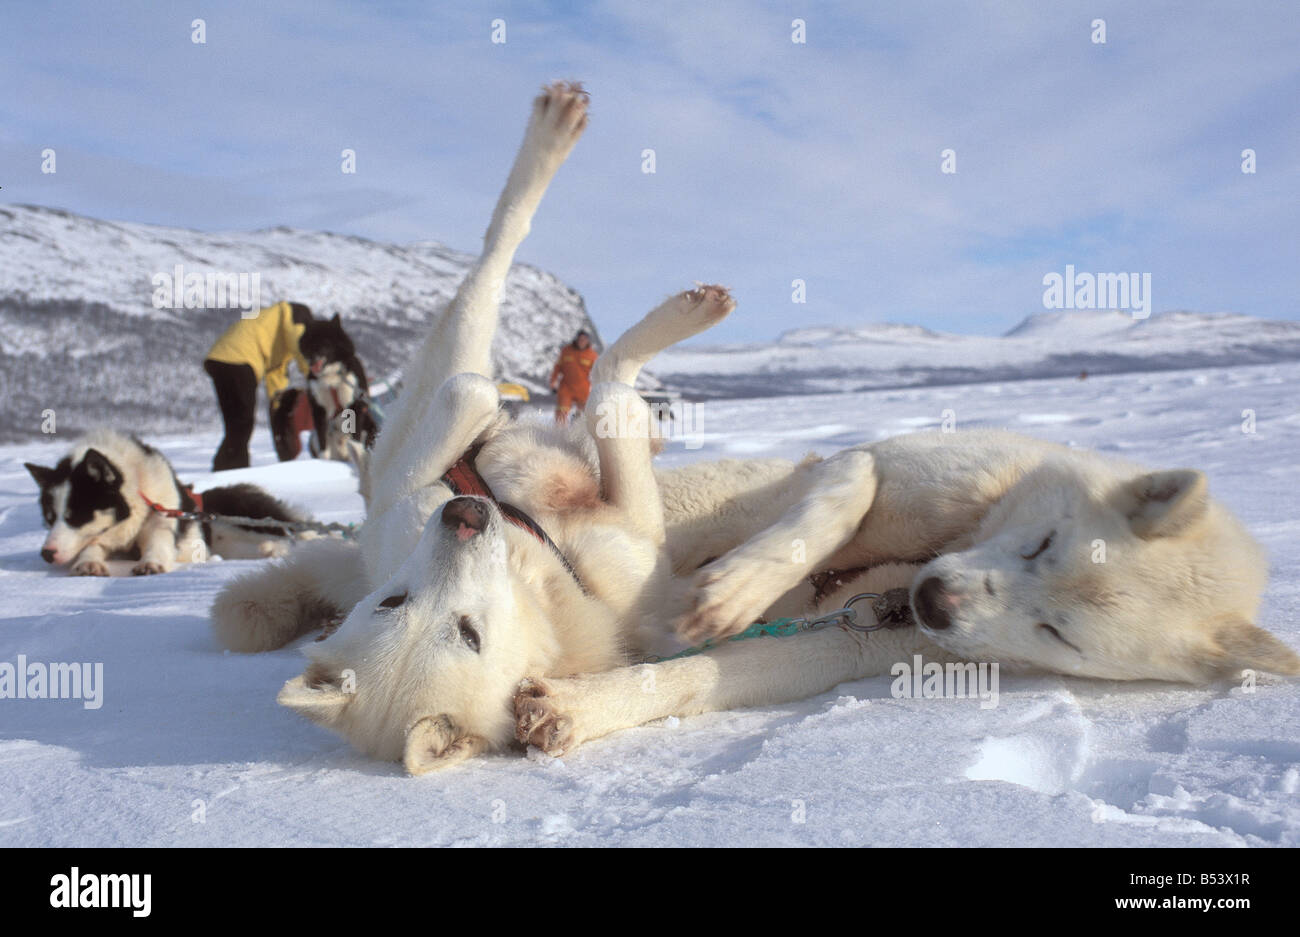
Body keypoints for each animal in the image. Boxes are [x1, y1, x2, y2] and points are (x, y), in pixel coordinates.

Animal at [29, 428, 308, 574]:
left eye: (77, 516)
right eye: (50, 519)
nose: (46, 554)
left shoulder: (161, 516)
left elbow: (159, 539)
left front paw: (151, 562)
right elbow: (93, 545)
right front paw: (88, 562)